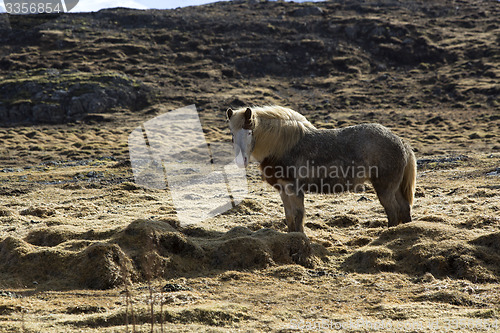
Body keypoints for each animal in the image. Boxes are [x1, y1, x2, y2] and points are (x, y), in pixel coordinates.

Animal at [226, 105, 414, 232]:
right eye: (232, 134)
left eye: (249, 132)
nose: (240, 161)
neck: (281, 147)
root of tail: (401, 142)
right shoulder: (283, 189)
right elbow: (289, 216)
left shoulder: (294, 188)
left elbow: (298, 215)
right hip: (395, 188)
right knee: (404, 208)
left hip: (384, 188)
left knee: (393, 212)